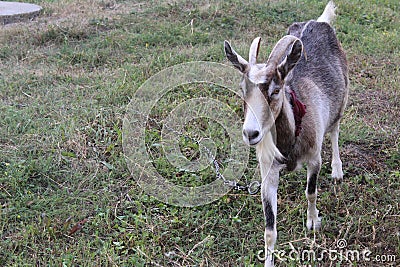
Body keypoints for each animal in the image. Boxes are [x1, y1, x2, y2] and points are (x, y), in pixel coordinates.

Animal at [223, 1, 348, 266]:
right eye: (242, 90)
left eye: (275, 90)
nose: (251, 133)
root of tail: (319, 21)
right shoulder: (268, 172)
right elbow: (269, 229)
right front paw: (268, 260)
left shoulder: (314, 158)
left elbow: (311, 192)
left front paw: (313, 222)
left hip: (341, 102)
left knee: (335, 131)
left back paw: (337, 170)